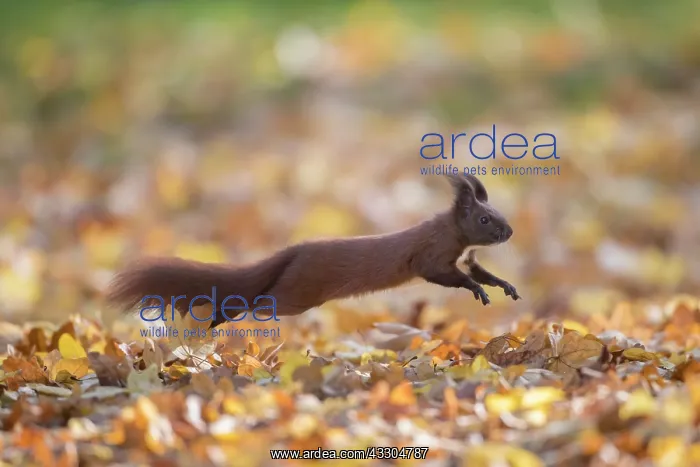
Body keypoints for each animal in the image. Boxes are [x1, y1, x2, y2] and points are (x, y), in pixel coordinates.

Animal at [106, 173, 520, 327]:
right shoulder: (432, 255)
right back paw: (222, 318)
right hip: (298, 293)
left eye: (498, 211)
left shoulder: (467, 257)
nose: (509, 231)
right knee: (258, 301)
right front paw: (477, 290)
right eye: (484, 219)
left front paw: (504, 286)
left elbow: (482, 272)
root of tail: (294, 252)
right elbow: (444, 274)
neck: (455, 235)